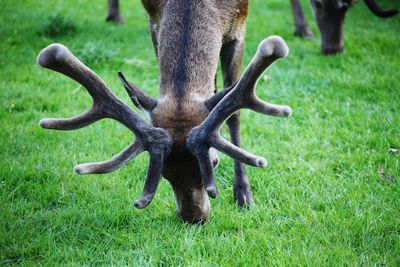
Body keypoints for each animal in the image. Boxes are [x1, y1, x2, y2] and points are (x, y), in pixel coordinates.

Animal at [36, 0, 290, 224]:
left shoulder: (239, 27)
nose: (193, 218)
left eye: (214, 162)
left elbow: (233, 113)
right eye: (165, 173)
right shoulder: (153, 22)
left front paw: (243, 196)